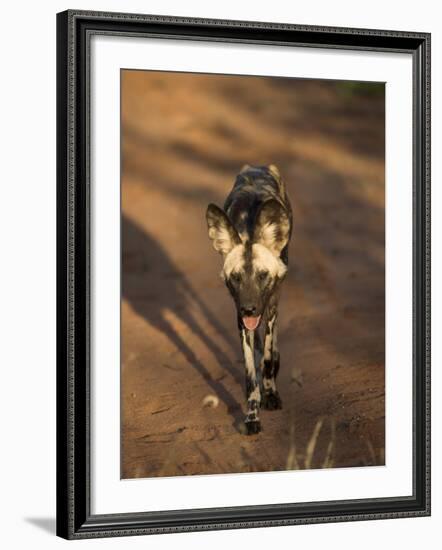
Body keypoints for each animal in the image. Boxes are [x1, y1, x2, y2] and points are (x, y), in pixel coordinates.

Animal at [205, 164, 292, 436]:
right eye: (236, 278)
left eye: (263, 275)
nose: (249, 308)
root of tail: (257, 166)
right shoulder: (240, 318)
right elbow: (250, 371)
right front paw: (252, 415)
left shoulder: (270, 305)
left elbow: (266, 356)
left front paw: (271, 394)